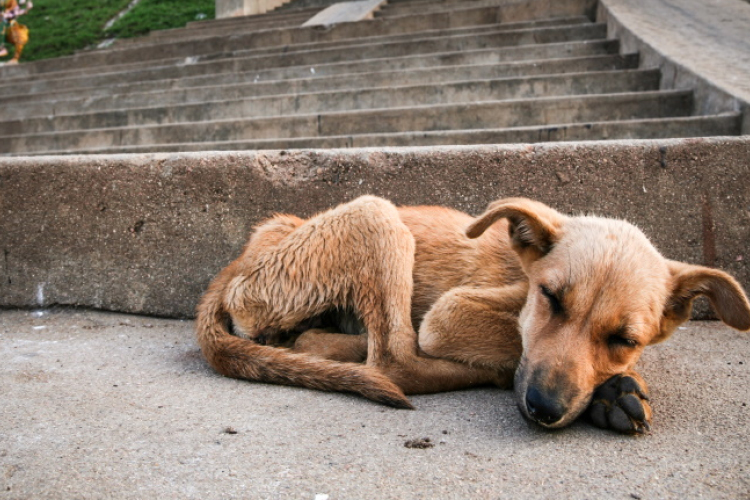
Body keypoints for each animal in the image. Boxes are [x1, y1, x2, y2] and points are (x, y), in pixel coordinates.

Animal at [195, 195, 750, 434]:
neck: (522, 274)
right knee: (395, 359)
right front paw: (607, 390)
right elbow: (509, 344)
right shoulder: (449, 312)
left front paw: (614, 386)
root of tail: (238, 263)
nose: (544, 408)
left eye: (625, 339)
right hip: (377, 213)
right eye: (550, 298)